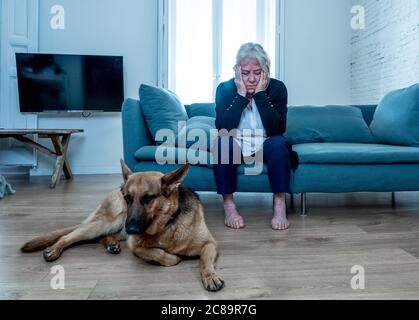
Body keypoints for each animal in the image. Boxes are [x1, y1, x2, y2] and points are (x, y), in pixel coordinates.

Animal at [22, 161, 226, 292]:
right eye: (128, 198)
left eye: (148, 198)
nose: (132, 230)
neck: (167, 225)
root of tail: (117, 187)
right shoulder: (135, 245)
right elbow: (162, 255)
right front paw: (173, 257)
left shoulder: (210, 244)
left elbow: (204, 261)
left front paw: (210, 276)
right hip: (109, 223)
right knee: (70, 235)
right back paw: (54, 249)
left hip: (116, 227)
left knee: (103, 236)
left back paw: (111, 244)